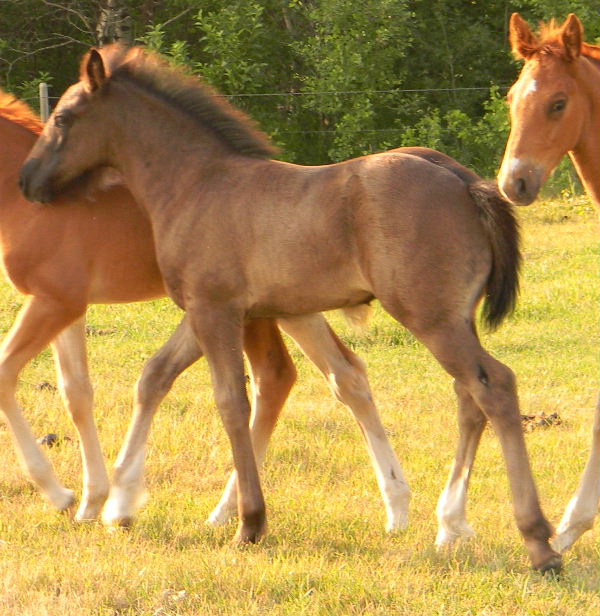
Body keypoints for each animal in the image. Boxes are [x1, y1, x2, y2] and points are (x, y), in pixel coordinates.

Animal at [0, 89, 411, 533]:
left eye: (63, 120)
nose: (30, 184)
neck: (24, 207)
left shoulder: (55, 302)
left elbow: (8, 373)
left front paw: (60, 493)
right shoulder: (66, 306)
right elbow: (76, 392)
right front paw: (92, 500)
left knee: (280, 377)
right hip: (290, 308)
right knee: (341, 375)